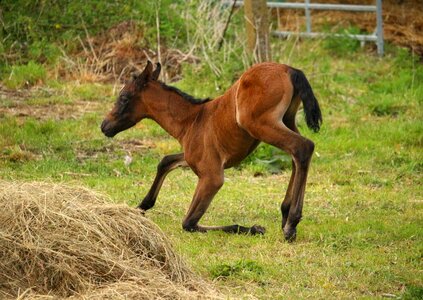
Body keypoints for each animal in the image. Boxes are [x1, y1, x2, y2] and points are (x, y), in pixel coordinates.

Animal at [102, 61, 322, 241]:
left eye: (123, 97)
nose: (104, 126)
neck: (191, 121)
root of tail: (289, 69)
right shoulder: (193, 158)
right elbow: (166, 160)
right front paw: (141, 206)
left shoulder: (212, 176)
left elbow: (189, 223)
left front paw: (252, 228)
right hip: (286, 120)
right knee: (297, 155)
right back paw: (285, 214)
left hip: (260, 124)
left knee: (302, 147)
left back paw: (291, 224)